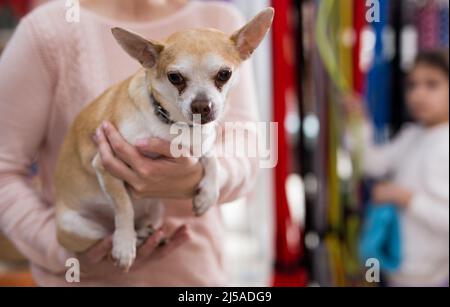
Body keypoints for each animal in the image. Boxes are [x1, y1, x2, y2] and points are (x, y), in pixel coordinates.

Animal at [55, 7, 276, 272]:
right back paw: (131, 238)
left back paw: (144, 234)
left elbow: (212, 159)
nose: (201, 106)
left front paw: (207, 195)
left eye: (224, 74)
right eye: (175, 77)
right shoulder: (105, 163)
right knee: (106, 234)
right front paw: (124, 244)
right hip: (74, 227)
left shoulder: (200, 146)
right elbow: (123, 206)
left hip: (156, 210)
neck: (174, 125)